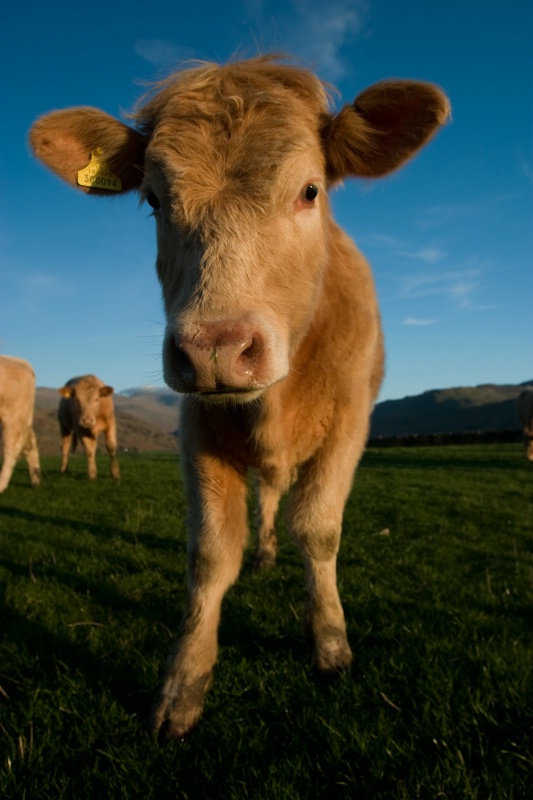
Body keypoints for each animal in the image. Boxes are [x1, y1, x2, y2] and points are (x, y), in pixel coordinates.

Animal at [30, 56, 448, 740]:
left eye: (310, 191)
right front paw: (183, 683)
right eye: (154, 199)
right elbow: (210, 553)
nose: (216, 349)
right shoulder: (198, 427)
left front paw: (329, 643)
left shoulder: (349, 425)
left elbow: (320, 531)